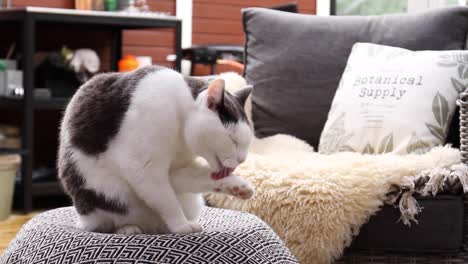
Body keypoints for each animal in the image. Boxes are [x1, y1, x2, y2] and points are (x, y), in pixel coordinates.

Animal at [58, 66, 256, 235]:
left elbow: (193, 179)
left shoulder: (174, 172)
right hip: (105, 195)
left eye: (247, 144)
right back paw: (127, 228)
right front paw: (181, 225)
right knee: (103, 224)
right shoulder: (143, 168)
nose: (242, 159)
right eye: (233, 140)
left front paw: (237, 186)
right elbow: (168, 201)